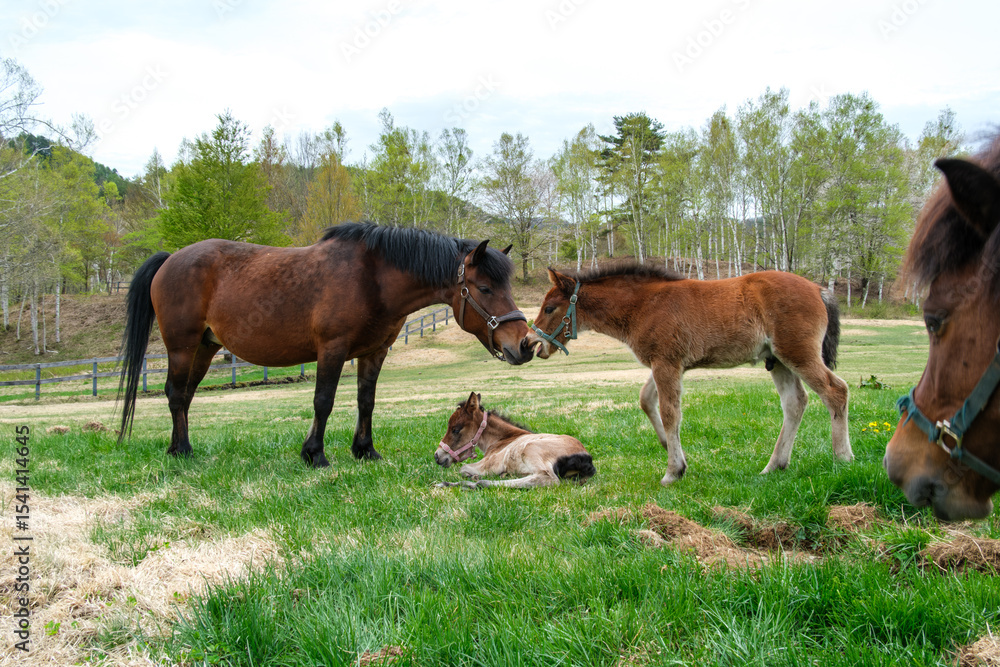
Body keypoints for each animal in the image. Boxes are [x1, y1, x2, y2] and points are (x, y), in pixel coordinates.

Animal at [117, 223, 534, 467]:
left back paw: (179, 447)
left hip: (204, 347)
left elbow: (366, 401)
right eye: (485, 288)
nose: (524, 344)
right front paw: (314, 454)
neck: (372, 278)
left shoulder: (374, 352)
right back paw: (181, 452)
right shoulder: (332, 350)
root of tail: (170, 259)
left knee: (185, 395)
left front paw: (365, 450)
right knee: (175, 393)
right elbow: (324, 401)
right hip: (182, 346)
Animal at [433, 392, 596, 488]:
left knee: (547, 478)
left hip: (531, 449)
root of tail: (586, 458)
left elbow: (463, 468)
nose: (437, 456)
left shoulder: (491, 463)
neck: (503, 439)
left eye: (455, 429)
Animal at [524, 266, 852, 485]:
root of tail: (819, 289)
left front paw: (673, 471)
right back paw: (774, 466)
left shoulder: (666, 363)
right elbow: (647, 400)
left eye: (550, 308)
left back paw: (843, 458)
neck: (644, 305)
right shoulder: (667, 363)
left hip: (797, 353)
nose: (530, 342)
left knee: (836, 391)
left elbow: (671, 413)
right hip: (779, 361)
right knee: (795, 403)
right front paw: (670, 449)